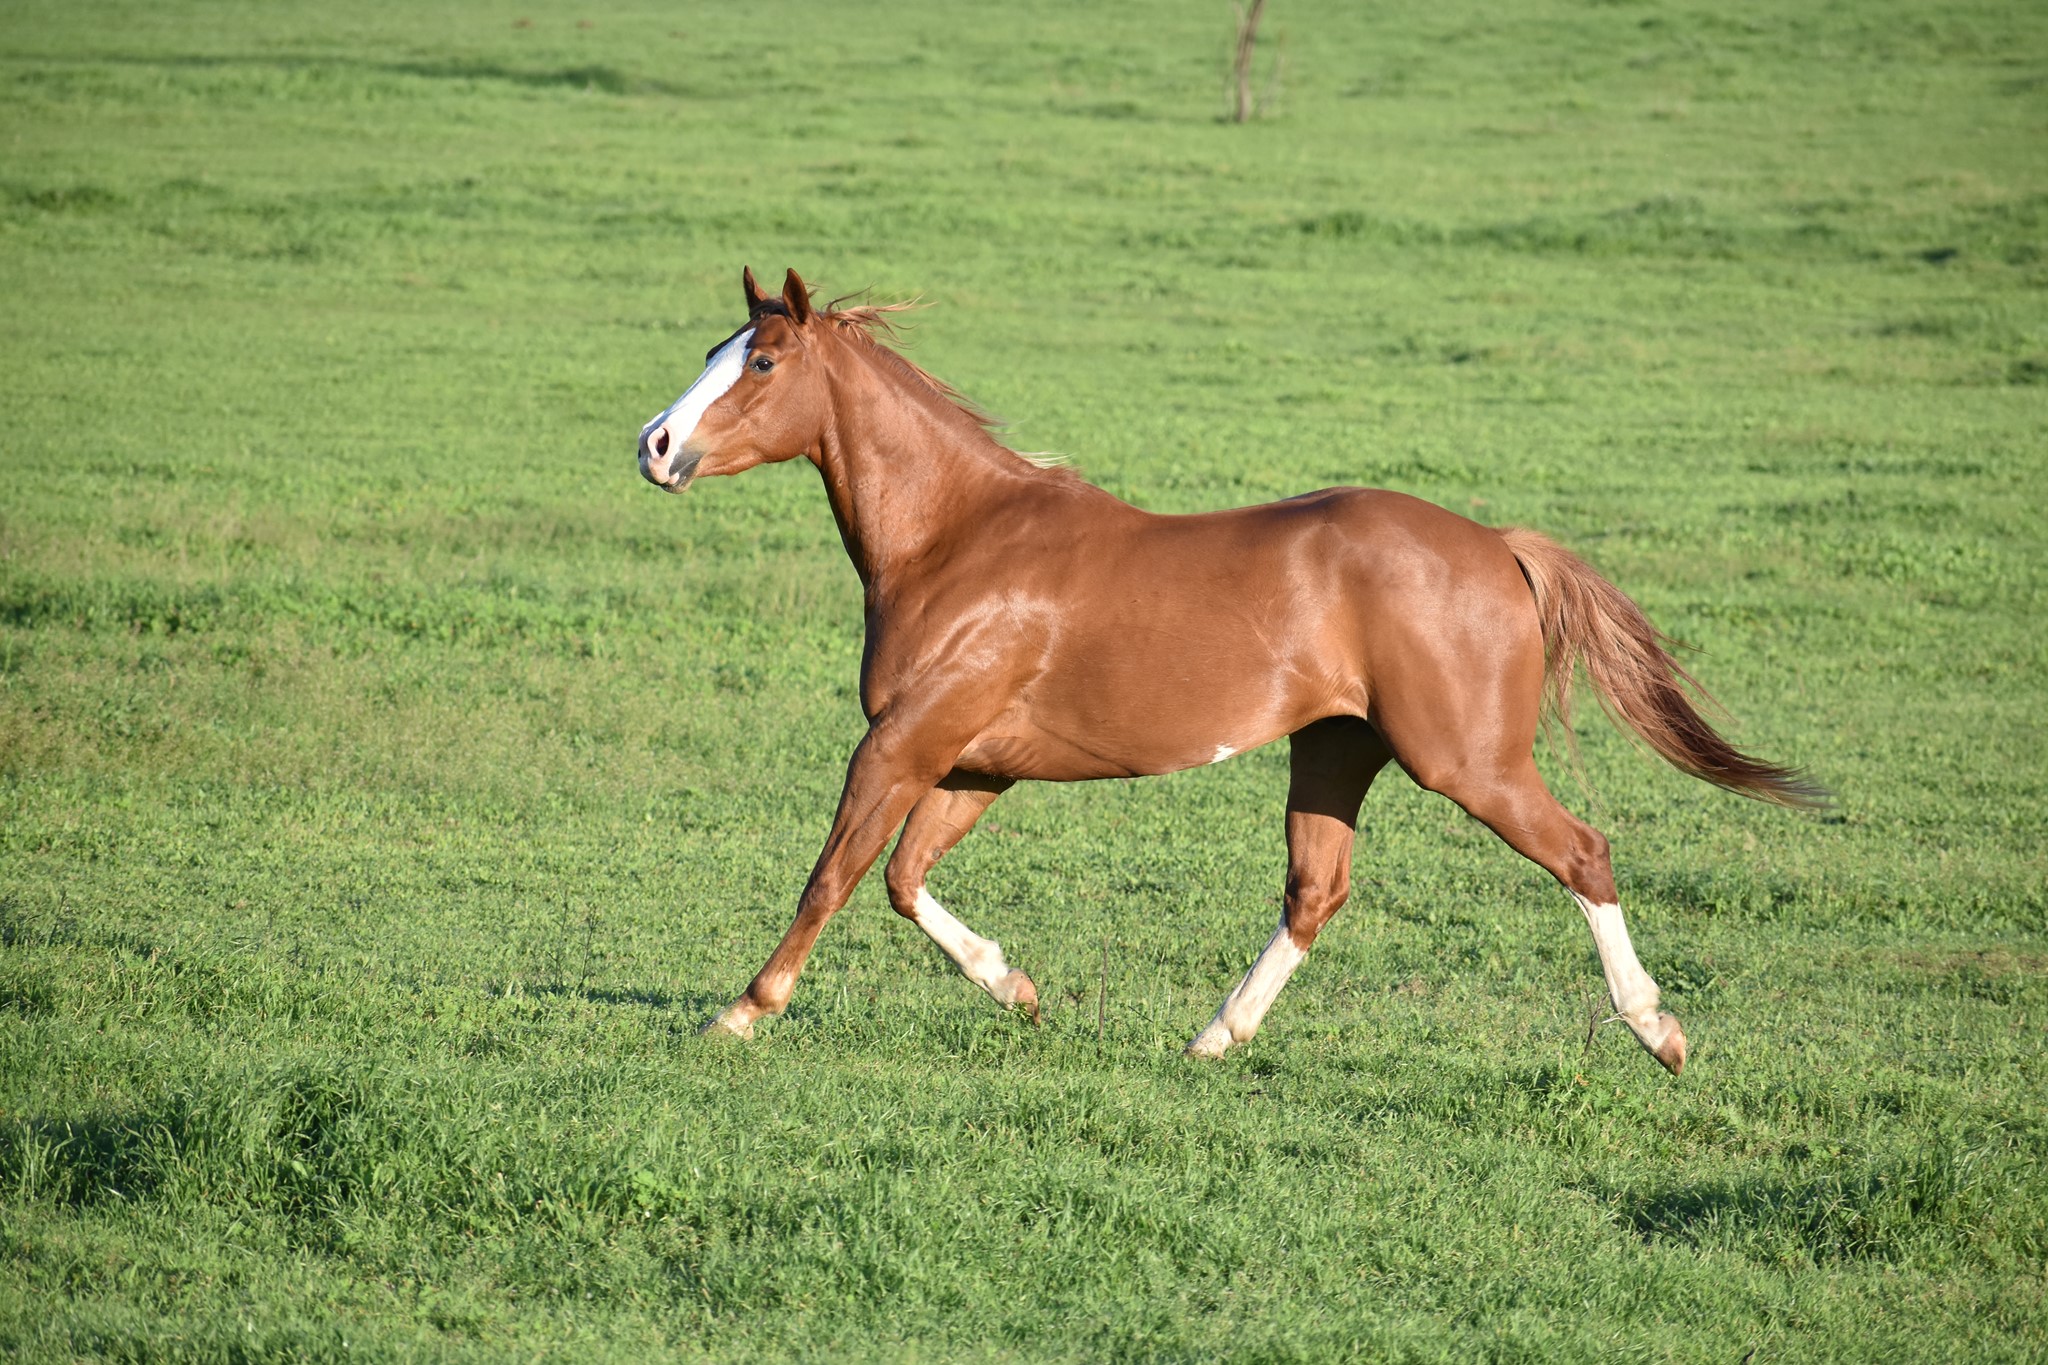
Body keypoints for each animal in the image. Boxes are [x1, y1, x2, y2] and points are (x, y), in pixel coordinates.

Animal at [635, 267, 1821, 1073]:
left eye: (761, 363)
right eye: (712, 348)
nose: (653, 445)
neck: (958, 540)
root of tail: (1495, 543)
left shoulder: (903, 740)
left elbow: (833, 874)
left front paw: (740, 1012)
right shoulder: (973, 764)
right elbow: (901, 880)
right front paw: (1016, 988)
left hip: (1465, 761)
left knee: (1583, 851)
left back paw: (1658, 1030)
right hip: (1337, 749)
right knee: (1315, 890)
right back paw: (1213, 1036)